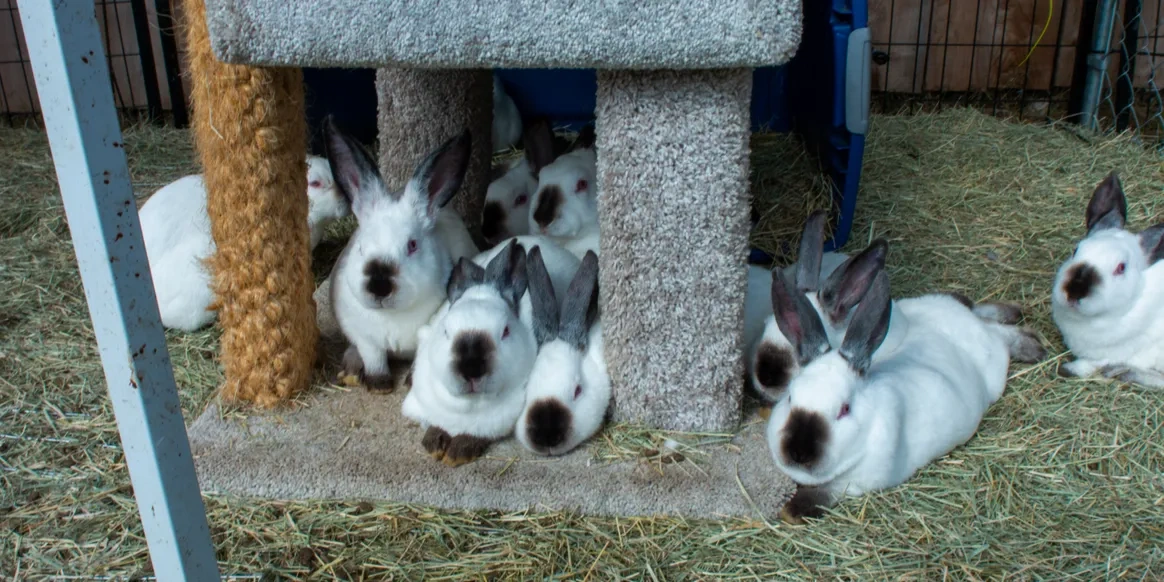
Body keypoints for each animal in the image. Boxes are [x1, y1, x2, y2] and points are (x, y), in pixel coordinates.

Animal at [325, 116, 480, 393]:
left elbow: (419, 357)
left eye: (412, 245)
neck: (391, 316)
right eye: (360, 246)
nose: (379, 285)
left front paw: (409, 383)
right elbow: (374, 358)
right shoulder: (364, 337)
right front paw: (379, 385)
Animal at [403, 240, 535, 467]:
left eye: (506, 331)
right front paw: (434, 445)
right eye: (445, 331)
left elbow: (476, 435)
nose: (471, 368)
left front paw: (456, 454)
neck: (467, 406)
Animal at [764, 239, 1045, 523]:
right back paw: (1015, 315)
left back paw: (1032, 344)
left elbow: (824, 494)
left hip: (995, 367)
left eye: (844, 409)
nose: (798, 452)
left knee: (1001, 335)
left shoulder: (855, 483)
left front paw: (790, 511)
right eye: (790, 398)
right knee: (973, 306)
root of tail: (969, 325)